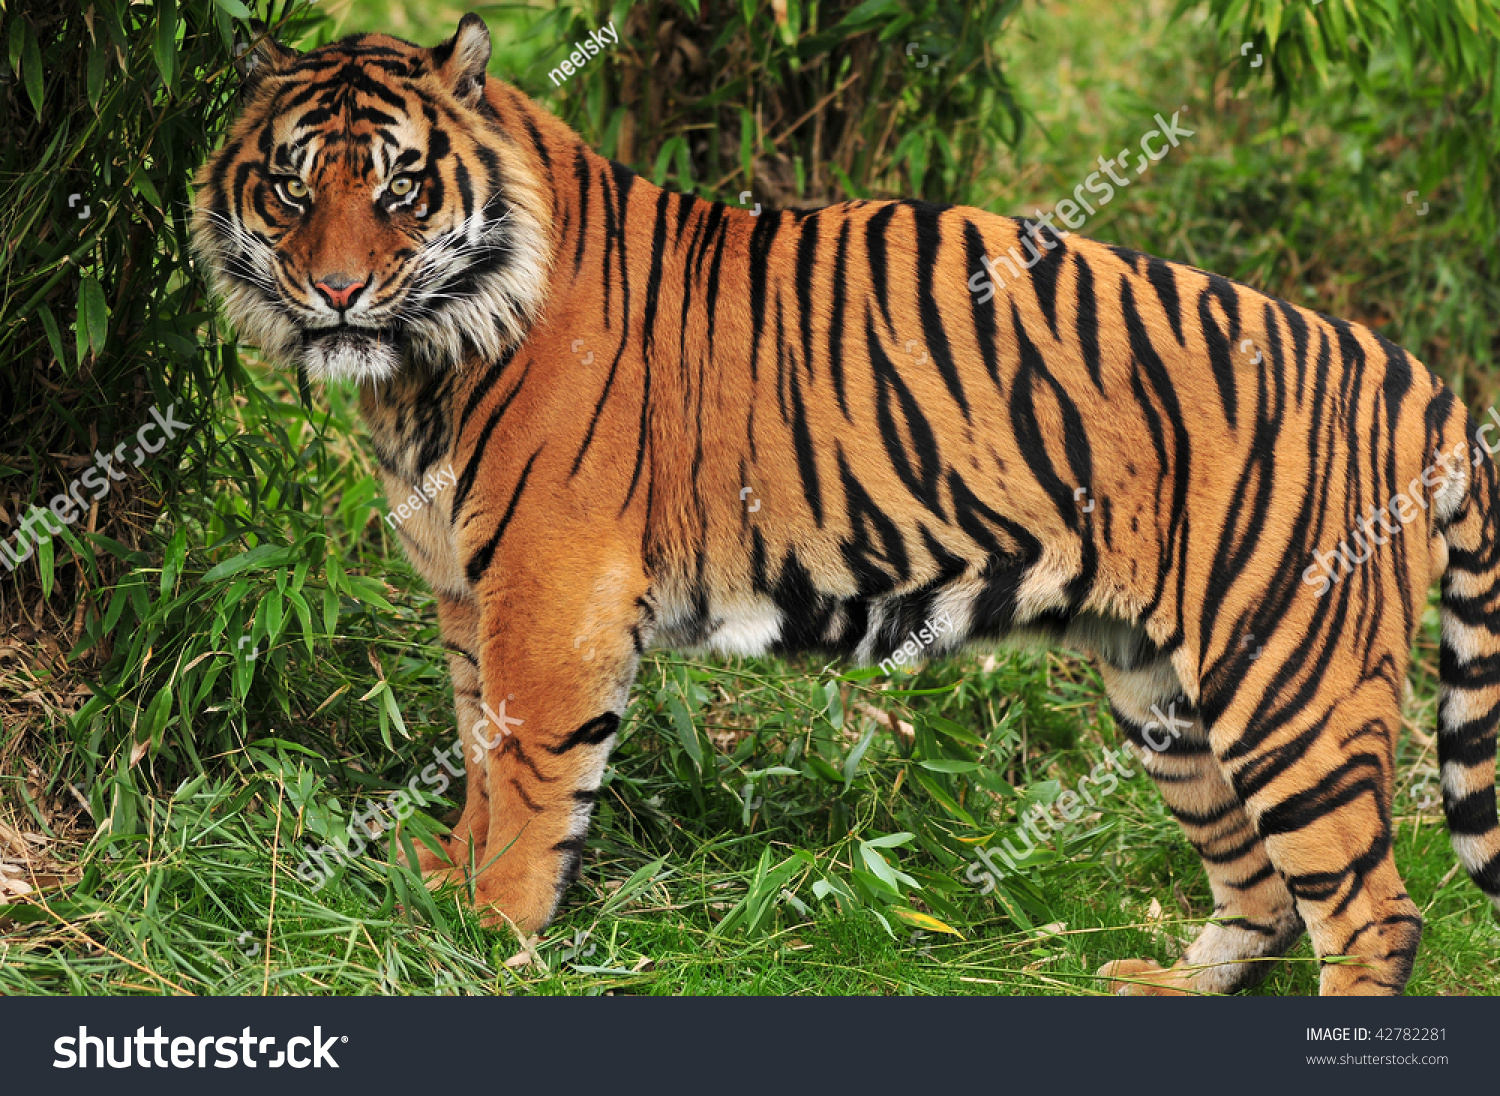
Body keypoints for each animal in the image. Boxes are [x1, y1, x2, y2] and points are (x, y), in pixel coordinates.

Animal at [193, 14, 1500, 995]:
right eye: (291, 189)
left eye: (404, 189)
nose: (337, 290)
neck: (420, 366)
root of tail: (1418, 378)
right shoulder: (469, 593)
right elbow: (473, 746)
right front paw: (440, 885)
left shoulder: (551, 591)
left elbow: (524, 772)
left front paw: (488, 928)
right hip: (1160, 688)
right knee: (1264, 884)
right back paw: (1169, 984)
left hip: (1288, 675)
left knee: (1376, 911)